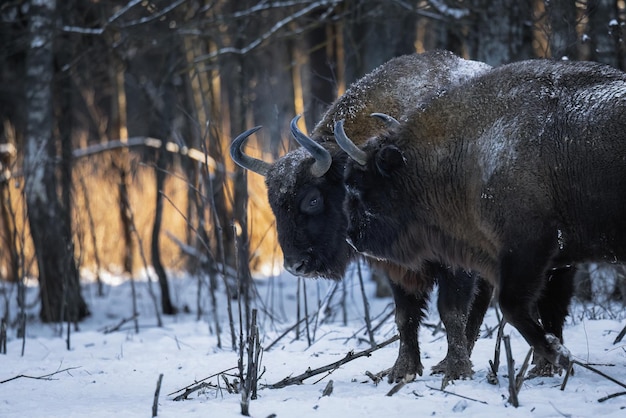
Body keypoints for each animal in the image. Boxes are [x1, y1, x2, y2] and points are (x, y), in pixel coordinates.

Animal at [229, 50, 492, 384]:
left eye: (313, 199)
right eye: (274, 204)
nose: (295, 266)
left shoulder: (457, 265)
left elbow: (451, 311)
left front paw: (456, 370)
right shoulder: (398, 270)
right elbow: (405, 316)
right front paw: (401, 371)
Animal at [336, 57, 624, 370]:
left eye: (360, 187)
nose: (352, 237)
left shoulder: (527, 249)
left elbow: (513, 307)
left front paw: (557, 354)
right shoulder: (555, 262)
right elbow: (549, 309)